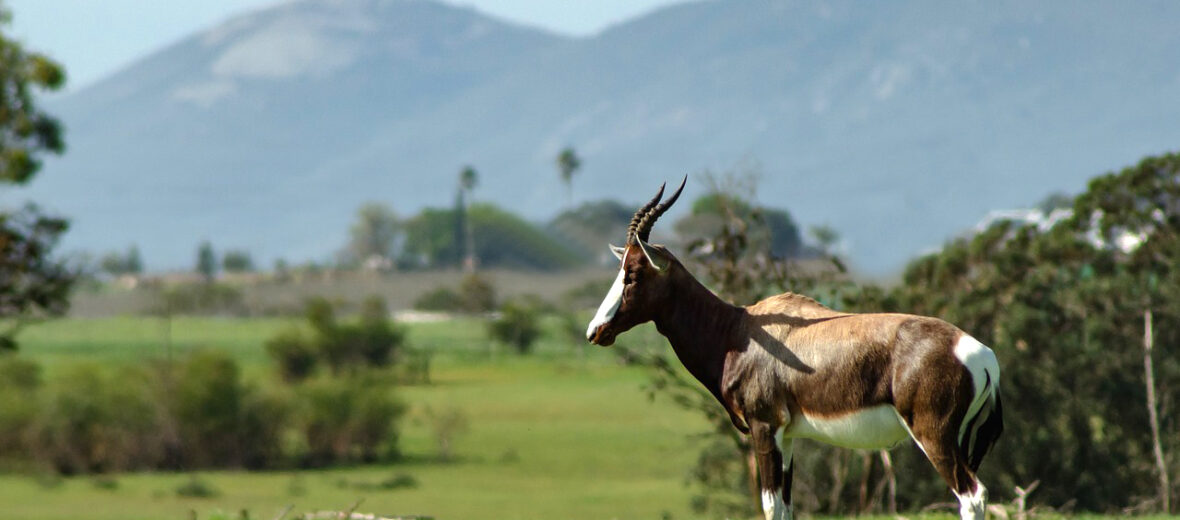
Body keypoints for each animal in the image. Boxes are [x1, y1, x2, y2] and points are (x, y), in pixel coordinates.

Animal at [585, 176, 1000, 516]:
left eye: (633, 273)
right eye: (621, 269)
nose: (595, 331)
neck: (738, 330)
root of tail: (980, 356)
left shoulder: (764, 427)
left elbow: (770, 506)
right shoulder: (790, 436)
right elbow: (786, 506)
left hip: (933, 435)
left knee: (971, 496)